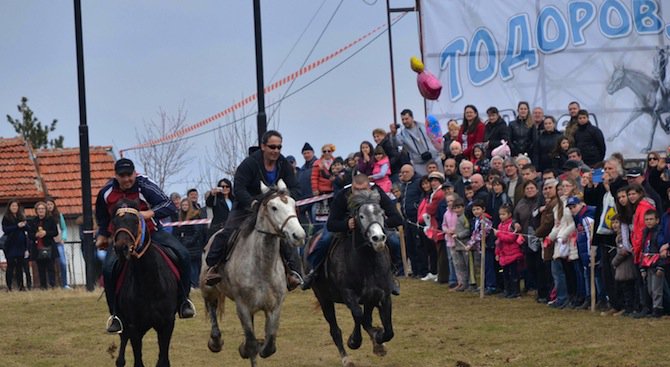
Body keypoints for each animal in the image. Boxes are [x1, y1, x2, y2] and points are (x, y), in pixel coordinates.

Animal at [113, 201, 181, 367]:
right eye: (114, 222)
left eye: (136, 221)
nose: (121, 248)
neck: (149, 283)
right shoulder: (134, 327)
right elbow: (138, 361)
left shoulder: (167, 323)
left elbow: (163, 360)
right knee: (122, 344)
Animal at [200, 180, 304, 366]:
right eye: (274, 207)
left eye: (293, 204)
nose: (298, 235)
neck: (262, 267)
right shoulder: (243, 308)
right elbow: (251, 344)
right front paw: (245, 348)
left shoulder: (274, 308)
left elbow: (269, 346)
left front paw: (258, 345)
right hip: (208, 289)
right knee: (211, 307)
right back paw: (215, 341)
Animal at [312, 190, 396, 367]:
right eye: (361, 216)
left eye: (382, 213)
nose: (378, 238)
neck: (367, 261)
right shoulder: (348, 294)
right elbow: (358, 315)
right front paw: (354, 341)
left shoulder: (382, 295)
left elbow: (388, 330)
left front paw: (379, 340)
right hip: (324, 299)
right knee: (335, 330)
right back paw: (346, 358)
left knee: (367, 318)